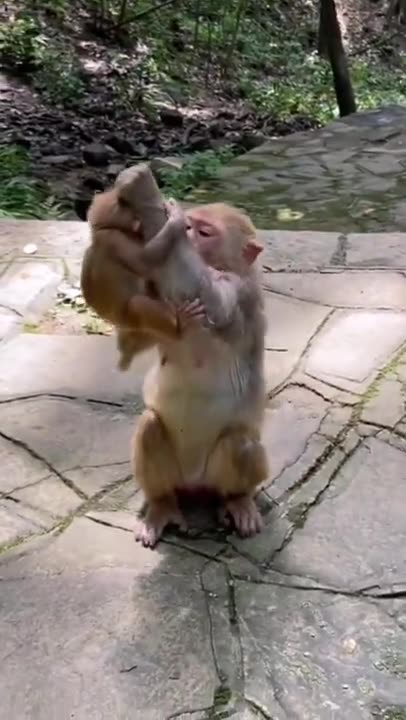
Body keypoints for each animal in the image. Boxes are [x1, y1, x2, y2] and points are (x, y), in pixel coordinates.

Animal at [80, 187, 204, 370]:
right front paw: (176, 218)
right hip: (130, 320)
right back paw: (181, 328)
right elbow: (144, 261)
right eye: (122, 201)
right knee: (138, 304)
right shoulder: (114, 238)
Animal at [132, 201, 270, 548]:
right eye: (193, 224)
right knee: (150, 426)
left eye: (204, 232)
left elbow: (216, 301)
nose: (187, 231)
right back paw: (161, 506)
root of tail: (194, 484)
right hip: (177, 476)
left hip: (215, 475)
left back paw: (236, 501)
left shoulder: (240, 292)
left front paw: (172, 222)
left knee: (240, 444)